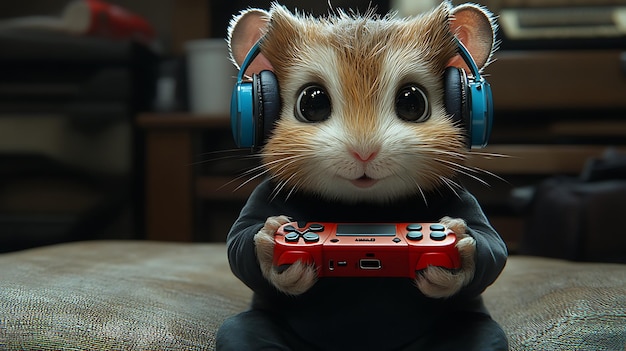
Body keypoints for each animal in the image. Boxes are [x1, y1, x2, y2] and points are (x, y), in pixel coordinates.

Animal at [219, 2, 508, 351]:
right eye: (312, 102)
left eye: (412, 101)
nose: (364, 152)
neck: (363, 208)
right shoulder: (262, 197)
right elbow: (238, 243)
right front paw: (274, 237)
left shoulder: (464, 200)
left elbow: (493, 247)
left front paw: (457, 245)